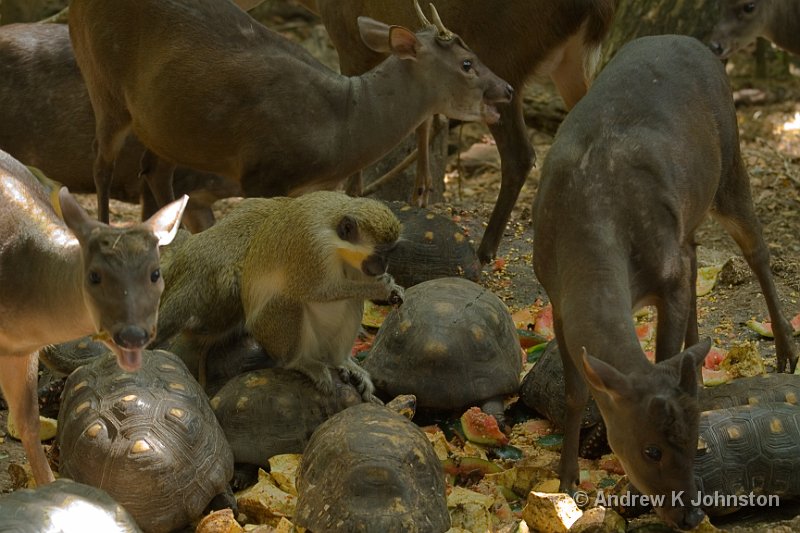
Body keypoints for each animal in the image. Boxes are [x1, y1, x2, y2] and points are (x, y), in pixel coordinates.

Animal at [0, 148, 186, 484]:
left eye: (155, 273)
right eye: (94, 276)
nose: (133, 335)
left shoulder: (22, 351)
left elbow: (28, 420)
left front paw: (49, 485)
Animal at [65, 0, 510, 227]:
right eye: (468, 63)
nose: (505, 88)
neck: (341, 126)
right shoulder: (263, 171)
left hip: (166, 124)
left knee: (155, 171)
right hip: (103, 81)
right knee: (101, 163)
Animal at [310, 0, 616, 264]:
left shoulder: (348, 40)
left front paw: (352, 199)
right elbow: (423, 118)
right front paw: (421, 192)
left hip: (505, 57)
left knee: (520, 155)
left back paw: (485, 250)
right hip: (569, 62)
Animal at [528, 35, 796, 528]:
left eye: (694, 442)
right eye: (650, 449)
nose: (690, 514)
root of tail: (698, 43)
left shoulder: (664, 278)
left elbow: (666, 349)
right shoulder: (556, 296)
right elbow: (576, 392)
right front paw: (568, 481)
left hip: (730, 159)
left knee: (756, 250)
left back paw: (787, 351)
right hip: (689, 212)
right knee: (695, 255)